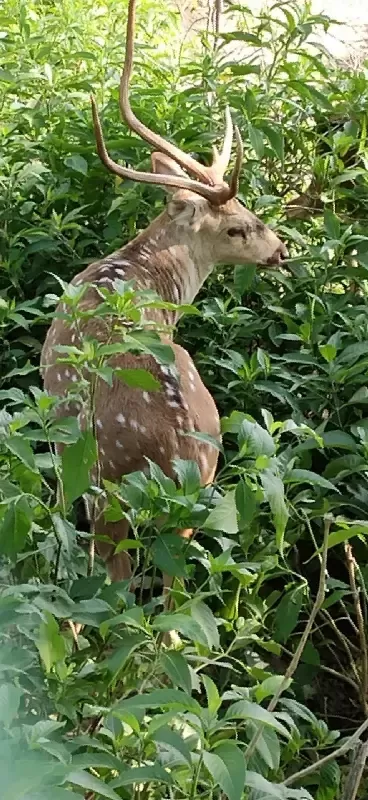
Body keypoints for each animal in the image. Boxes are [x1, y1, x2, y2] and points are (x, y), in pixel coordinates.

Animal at [41, 0, 288, 608]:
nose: (281, 250)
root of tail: (181, 450)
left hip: (105, 480)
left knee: (113, 588)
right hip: (195, 499)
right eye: (238, 224)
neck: (141, 275)